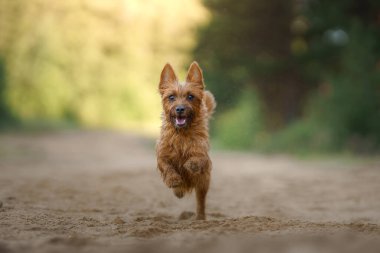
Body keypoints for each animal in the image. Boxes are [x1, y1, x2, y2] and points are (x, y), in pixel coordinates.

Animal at [156, 60, 215, 219]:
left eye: (190, 96)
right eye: (171, 97)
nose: (180, 109)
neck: (181, 134)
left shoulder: (201, 152)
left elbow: (198, 158)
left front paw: (191, 164)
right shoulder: (162, 154)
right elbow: (167, 166)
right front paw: (174, 179)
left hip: (203, 183)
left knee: (200, 202)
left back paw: (200, 217)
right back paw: (179, 190)